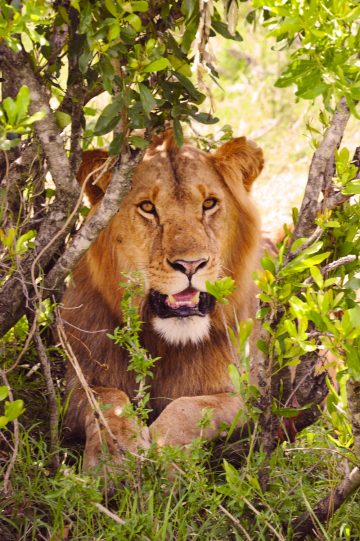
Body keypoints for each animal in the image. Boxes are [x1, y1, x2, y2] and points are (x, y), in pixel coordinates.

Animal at [61, 129, 264, 466]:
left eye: (209, 204)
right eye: (147, 207)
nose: (191, 265)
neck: (170, 343)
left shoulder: (247, 396)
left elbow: (189, 407)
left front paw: (164, 451)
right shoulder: (76, 383)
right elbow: (108, 401)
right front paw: (113, 459)